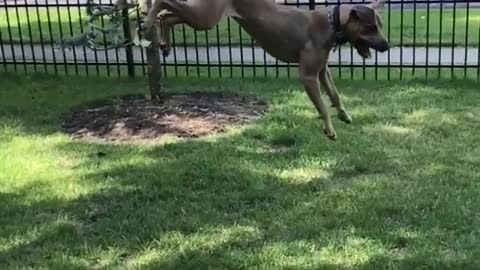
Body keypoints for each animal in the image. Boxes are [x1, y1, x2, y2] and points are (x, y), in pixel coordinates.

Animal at [141, 0, 388, 139]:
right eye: (370, 27)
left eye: (380, 26)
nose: (386, 46)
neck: (331, 22)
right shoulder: (308, 76)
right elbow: (323, 107)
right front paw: (329, 130)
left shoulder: (321, 72)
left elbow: (335, 96)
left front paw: (344, 114)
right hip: (205, 17)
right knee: (164, 2)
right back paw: (147, 20)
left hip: (201, 16)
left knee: (168, 16)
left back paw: (163, 42)